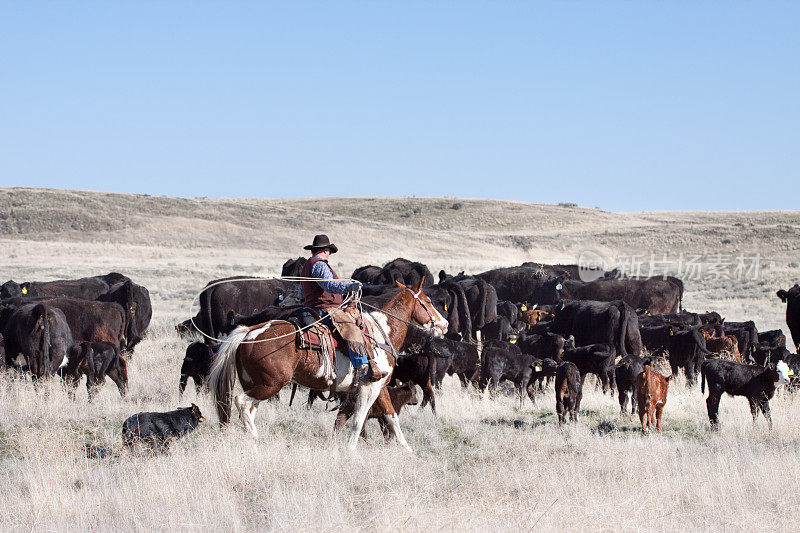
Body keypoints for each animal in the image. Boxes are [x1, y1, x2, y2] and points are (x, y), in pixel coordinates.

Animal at [209, 278, 446, 448]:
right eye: (428, 301)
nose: (444, 325)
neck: (381, 333)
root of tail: (250, 331)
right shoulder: (369, 387)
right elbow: (358, 419)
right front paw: (351, 450)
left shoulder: (380, 387)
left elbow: (391, 416)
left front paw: (407, 449)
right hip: (271, 384)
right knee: (241, 401)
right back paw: (255, 438)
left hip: (256, 384)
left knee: (249, 409)